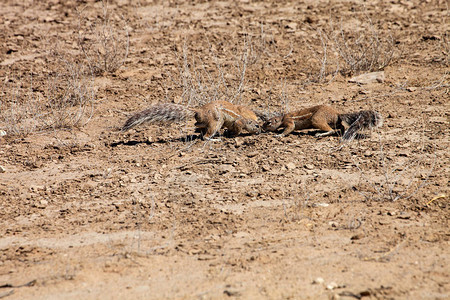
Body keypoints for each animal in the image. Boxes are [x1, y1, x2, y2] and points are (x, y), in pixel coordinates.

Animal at [121, 99, 262, 139]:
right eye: (257, 126)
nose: (260, 131)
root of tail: (199, 111)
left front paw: (228, 132)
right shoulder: (238, 122)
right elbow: (237, 129)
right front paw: (232, 135)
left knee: (198, 125)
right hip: (216, 122)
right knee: (206, 136)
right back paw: (214, 138)